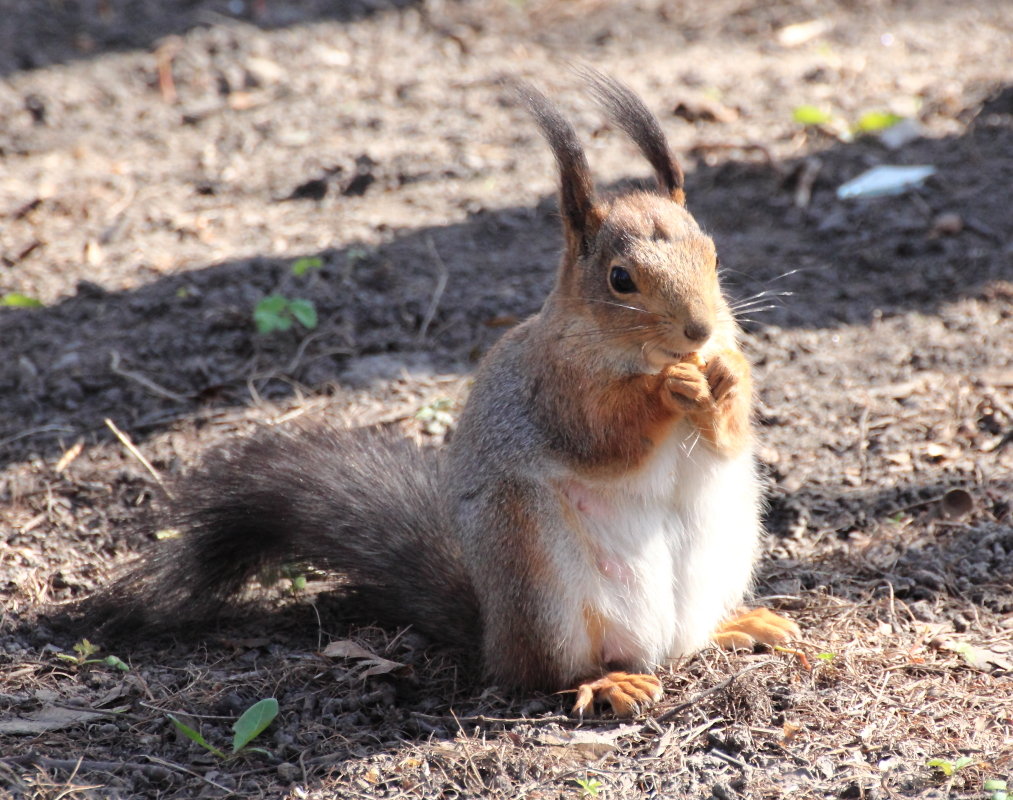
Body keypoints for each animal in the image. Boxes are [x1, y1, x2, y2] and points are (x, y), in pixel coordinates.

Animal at [87, 71, 798, 716]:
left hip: (728, 535)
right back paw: (606, 682)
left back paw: (742, 624)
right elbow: (604, 436)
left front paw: (728, 373)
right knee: (548, 674)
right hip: (534, 568)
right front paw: (666, 387)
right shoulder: (555, 388)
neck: (628, 350)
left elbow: (729, 433)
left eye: (713, 255)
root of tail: (493, 636)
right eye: (620, 279)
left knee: (687, 639)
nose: (699, 329)